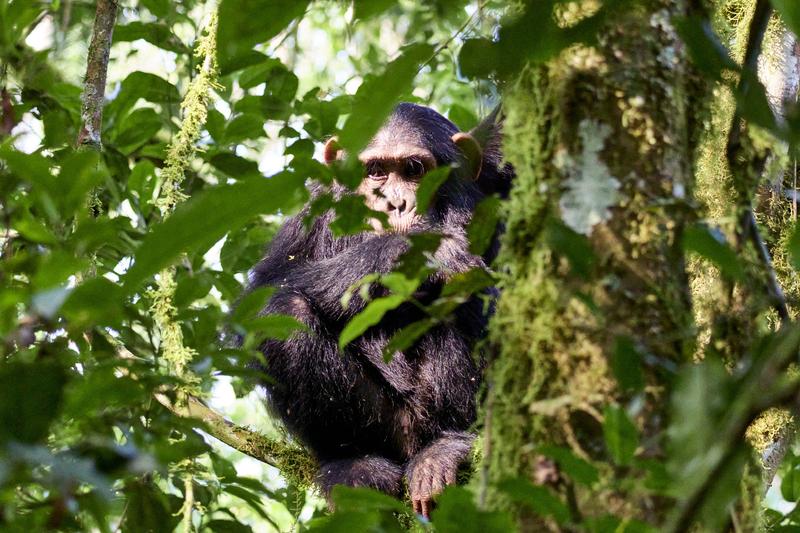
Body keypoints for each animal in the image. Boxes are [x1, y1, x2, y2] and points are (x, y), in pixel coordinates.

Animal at [245, 103, 512, 516]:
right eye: (374, 171)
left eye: (414, 169)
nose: (393, 202)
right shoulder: (314, 205)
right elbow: (269, 285)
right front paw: (417, 251)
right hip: (383, 425)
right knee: (283, 312)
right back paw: (352, 465)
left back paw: (446, 448)